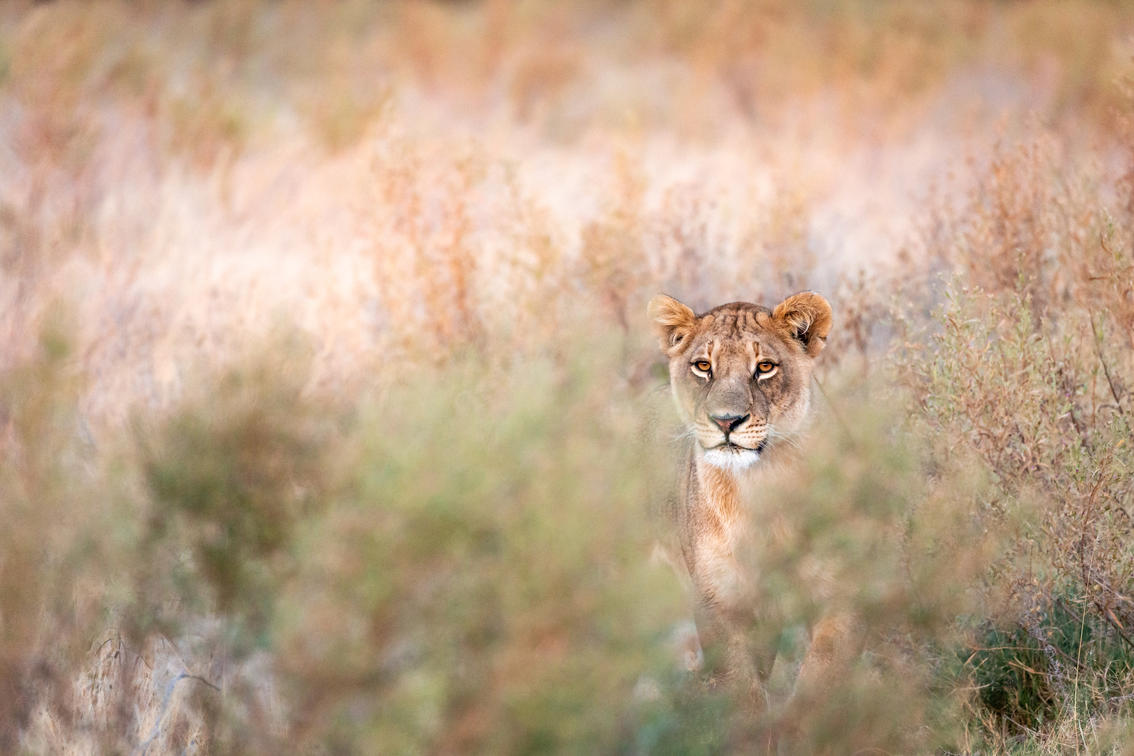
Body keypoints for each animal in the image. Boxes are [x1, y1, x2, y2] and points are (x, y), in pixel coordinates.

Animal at [647, 291, 862, 716]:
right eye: (703, 366)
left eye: (764, 367)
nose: (726, 421)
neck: (763, 484)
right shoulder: (719, 603)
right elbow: (741, 692)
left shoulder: (841, 592)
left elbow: (821, 676)